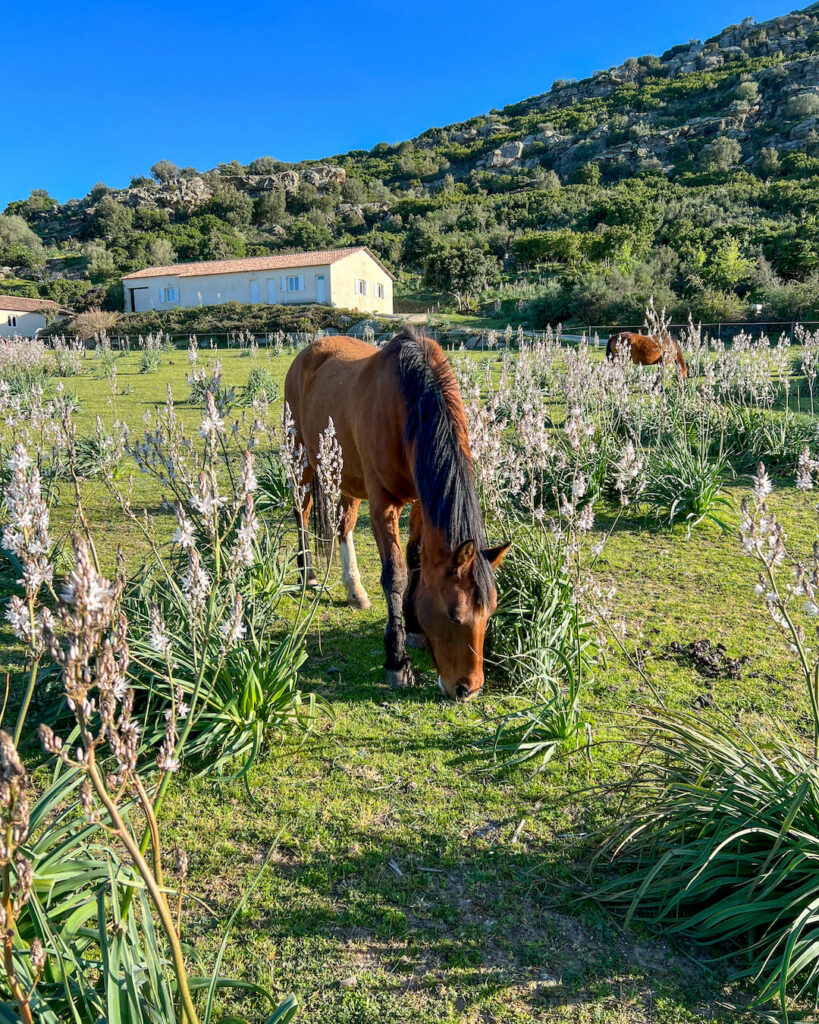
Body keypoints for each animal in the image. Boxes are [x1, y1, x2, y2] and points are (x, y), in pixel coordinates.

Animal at [284, 327, 507, 704]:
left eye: (489, 611)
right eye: (455, 615)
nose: (469, 689)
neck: (410, 405)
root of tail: (308, 353)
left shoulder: (419, 500)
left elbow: (416, 559)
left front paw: (414, 626)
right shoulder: (383, 503)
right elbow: (395, 574)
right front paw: (397, 660)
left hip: (346, 475)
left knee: (343, 527)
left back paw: (354, 589)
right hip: (301, 460)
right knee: (302, 513)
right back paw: (309, 576)